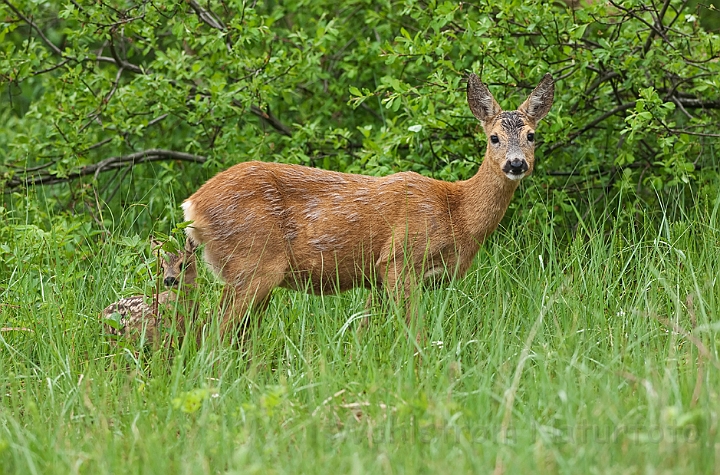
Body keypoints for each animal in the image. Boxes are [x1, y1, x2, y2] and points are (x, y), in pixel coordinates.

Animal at [183, 72, 556, 344]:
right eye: (494, 138)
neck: (457, 213)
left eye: (532, 135)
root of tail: (192, 208)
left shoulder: (376, 277)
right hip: (255, 261)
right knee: (213, 331)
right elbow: (415, 331)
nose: (516, 164)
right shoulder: (398, 258)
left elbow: (363, 331)